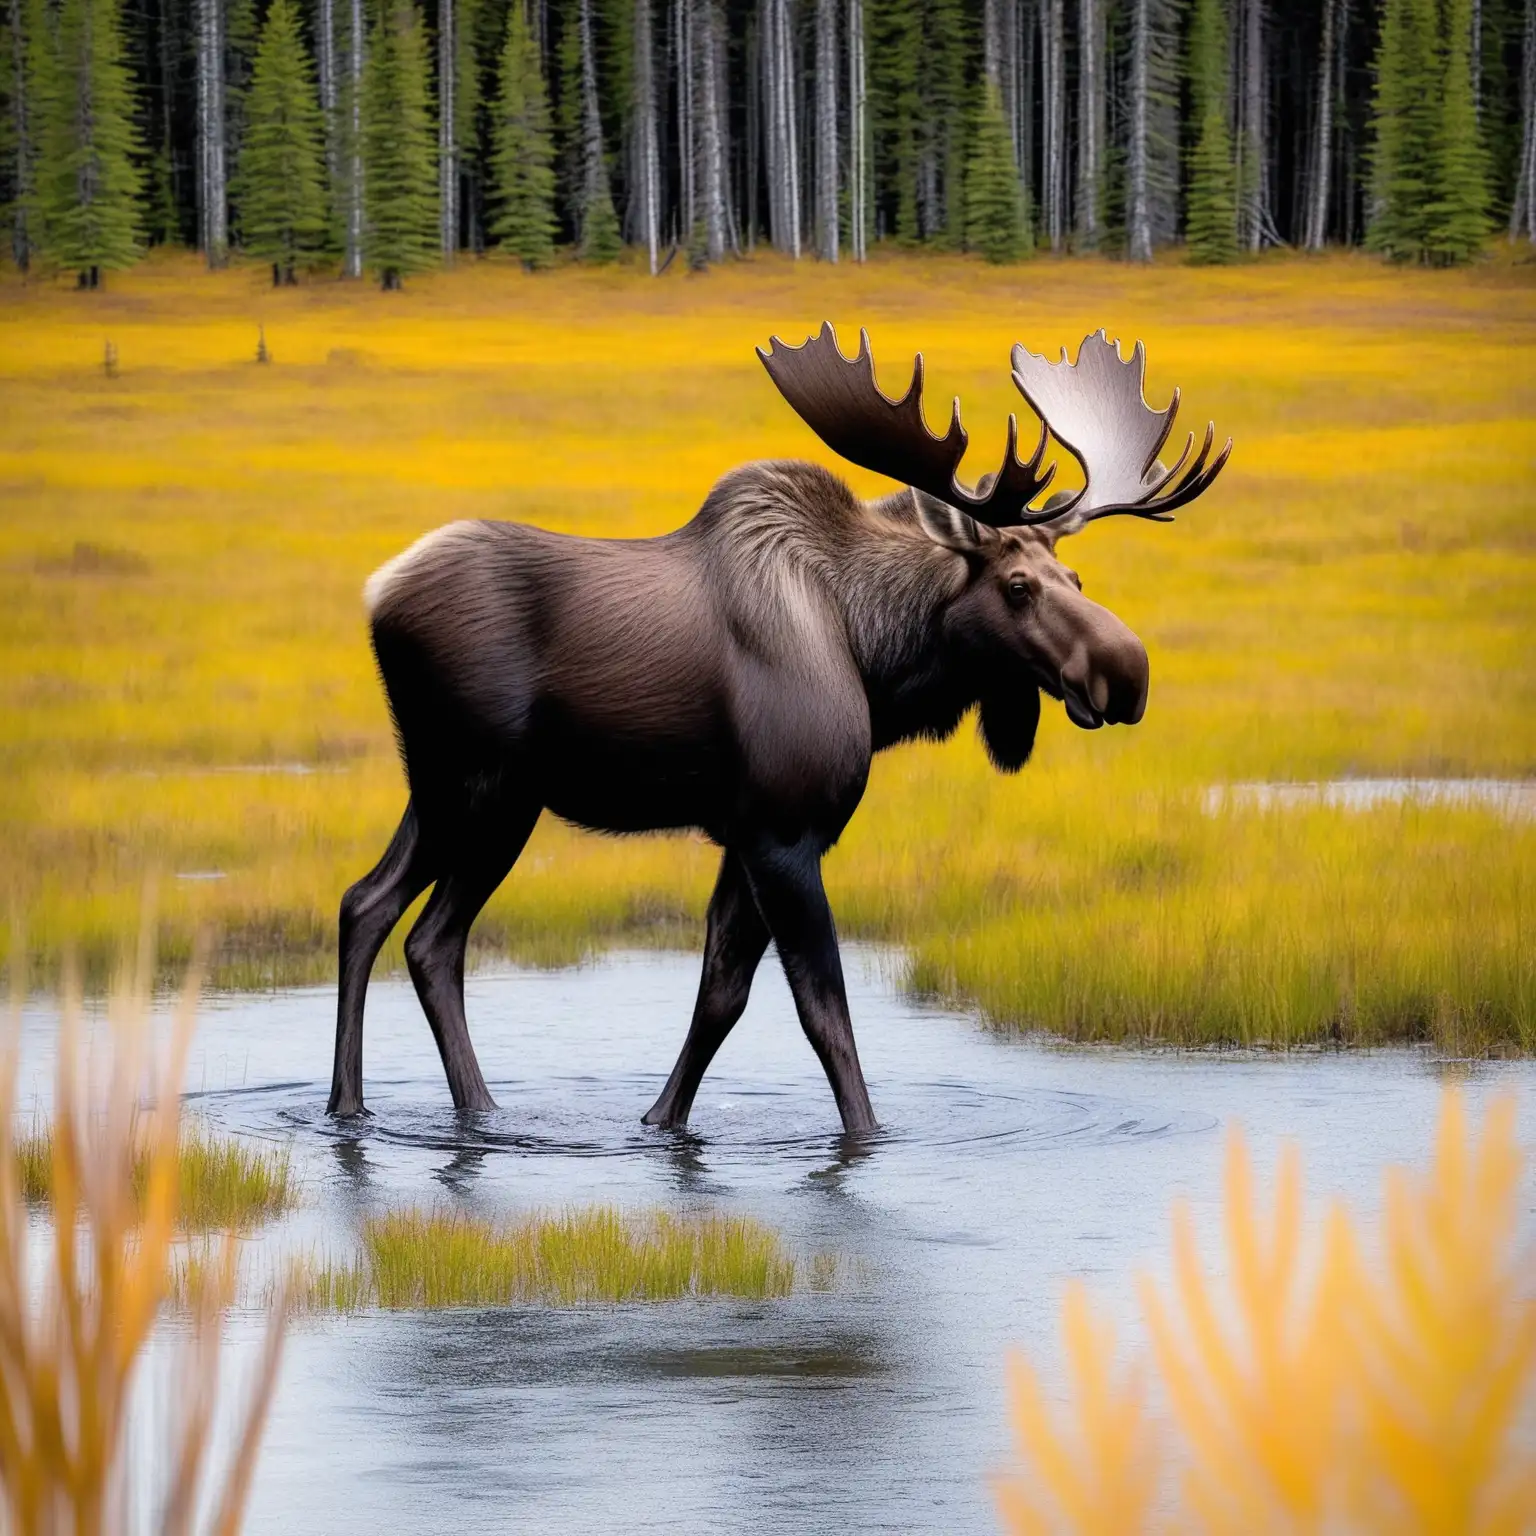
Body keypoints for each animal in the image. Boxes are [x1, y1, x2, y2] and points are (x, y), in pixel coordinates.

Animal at [330, 324, 1228, 1136]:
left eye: (1073, 575)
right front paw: (866, 1136)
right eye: (1016, 585)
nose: (1127, 672)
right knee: (430, 935)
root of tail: (376, 594)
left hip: (443, 791)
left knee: (370, 905)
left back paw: (376, 1107)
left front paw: (660, 1122)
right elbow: (821, 1010)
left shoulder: (750, 834)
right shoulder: (786, 832)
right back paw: (448, 1110)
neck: (876, 657)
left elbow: (720, 996)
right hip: (486, 792)